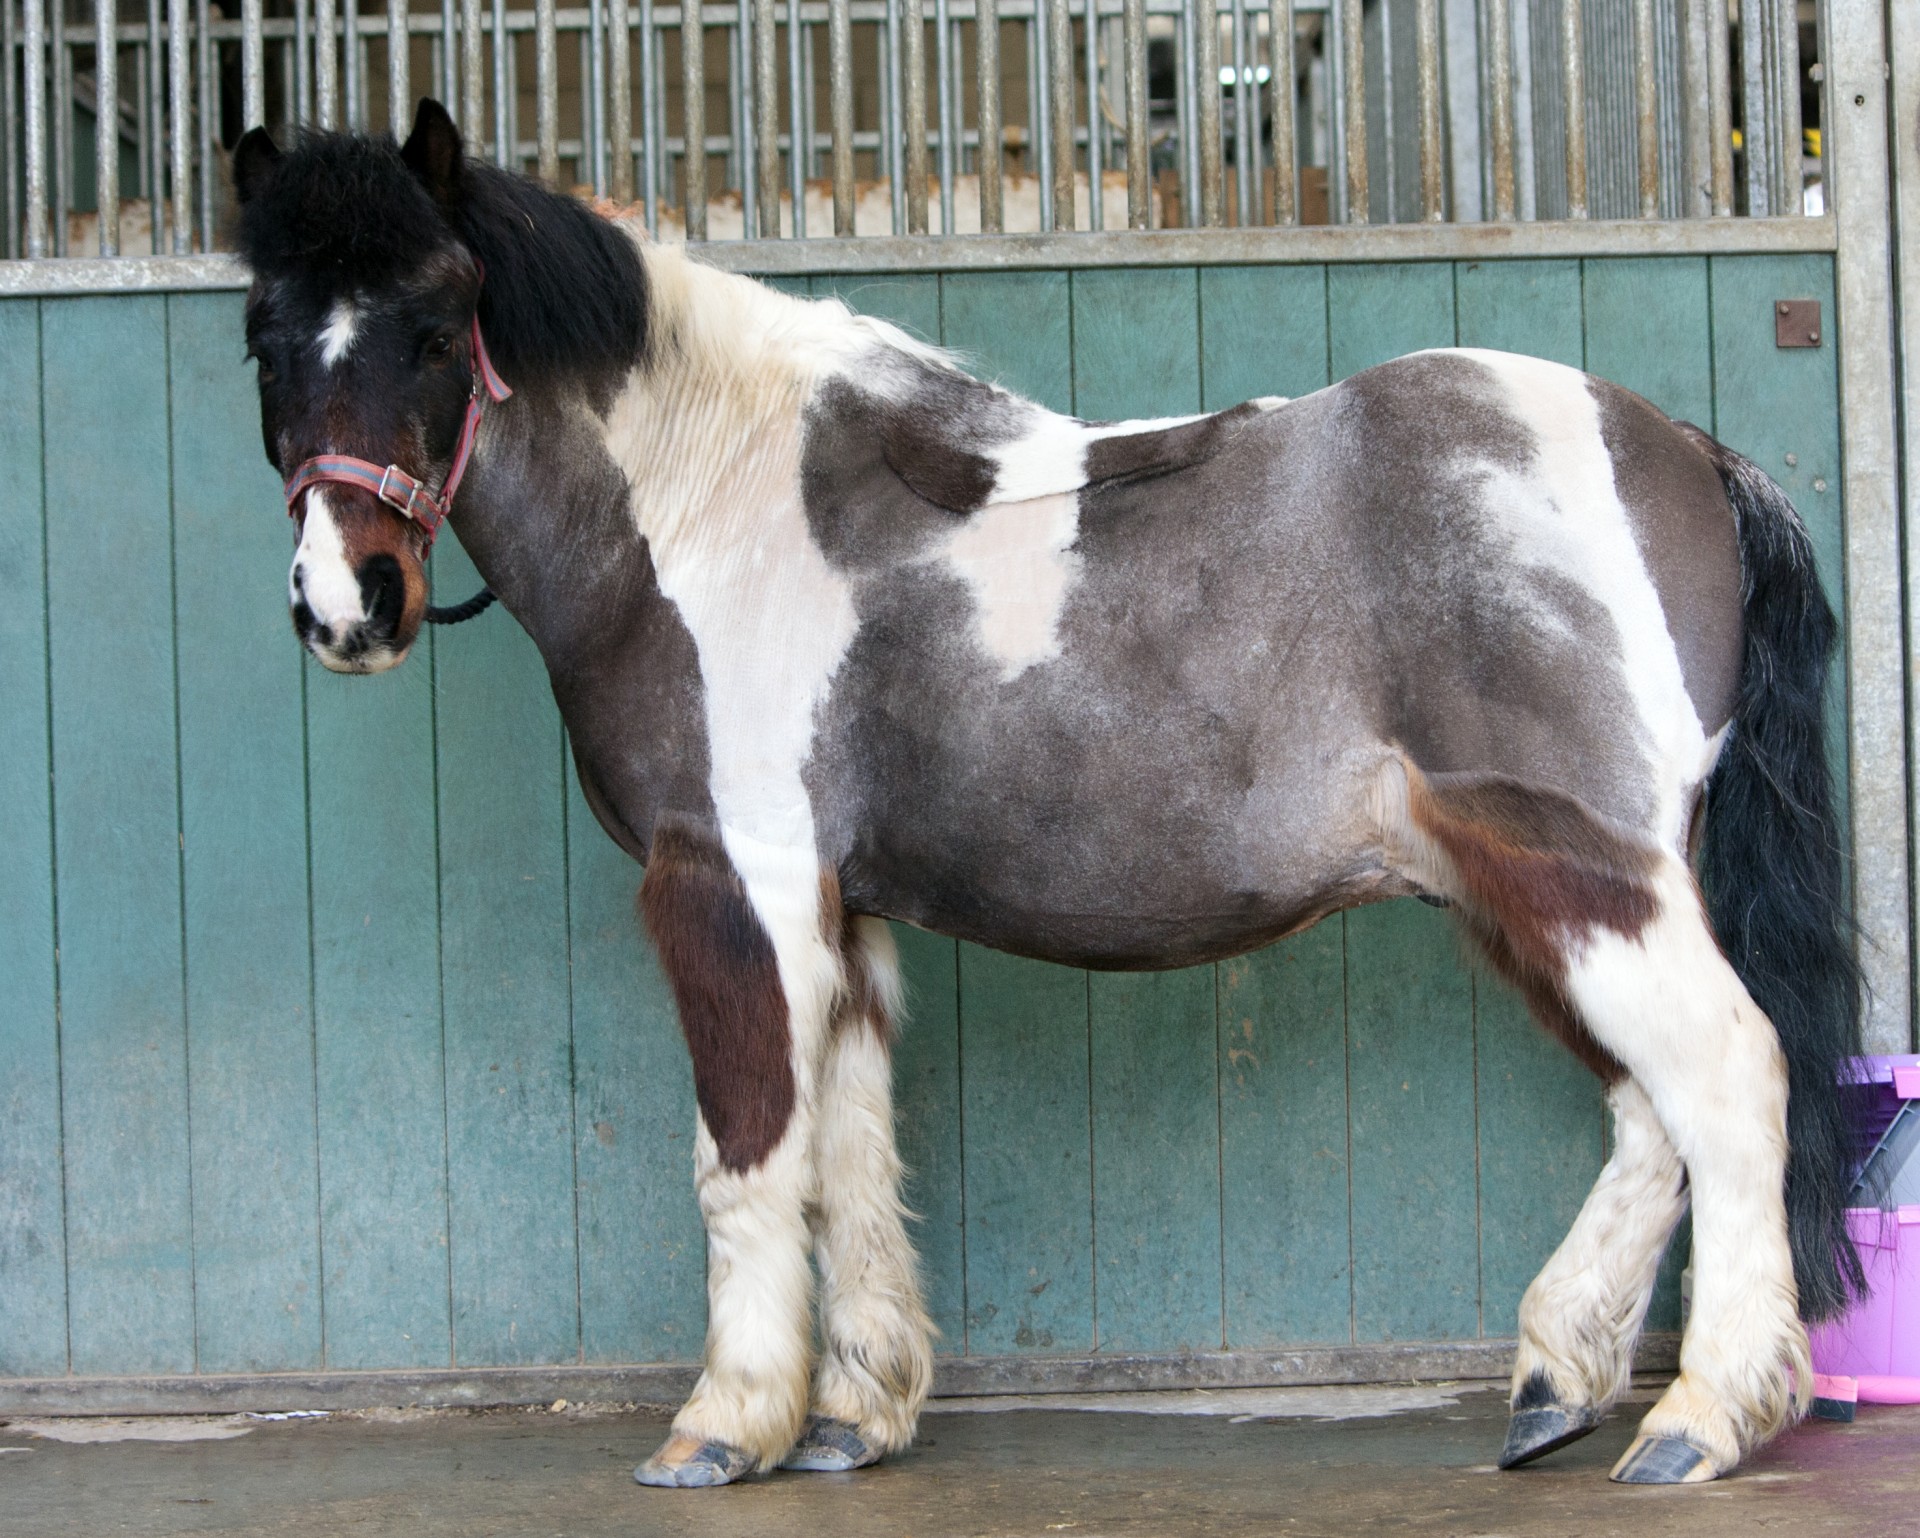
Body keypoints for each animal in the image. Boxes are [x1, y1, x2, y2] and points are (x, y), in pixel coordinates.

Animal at [228, 98, 1858, 1489]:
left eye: (436, 326)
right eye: (262, 340)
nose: (347, 602)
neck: (708, 508)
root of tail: (1681, 449)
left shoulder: (733, 881)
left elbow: (747, 1151)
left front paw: (725, 1423)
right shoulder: (842, 911)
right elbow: (847, 1149)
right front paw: (855, 1413)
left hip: (1581, 870)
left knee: (1729, 1075)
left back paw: (1702, 1417)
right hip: (1527, 886)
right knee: (1651, 1111)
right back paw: (1555, 1383)